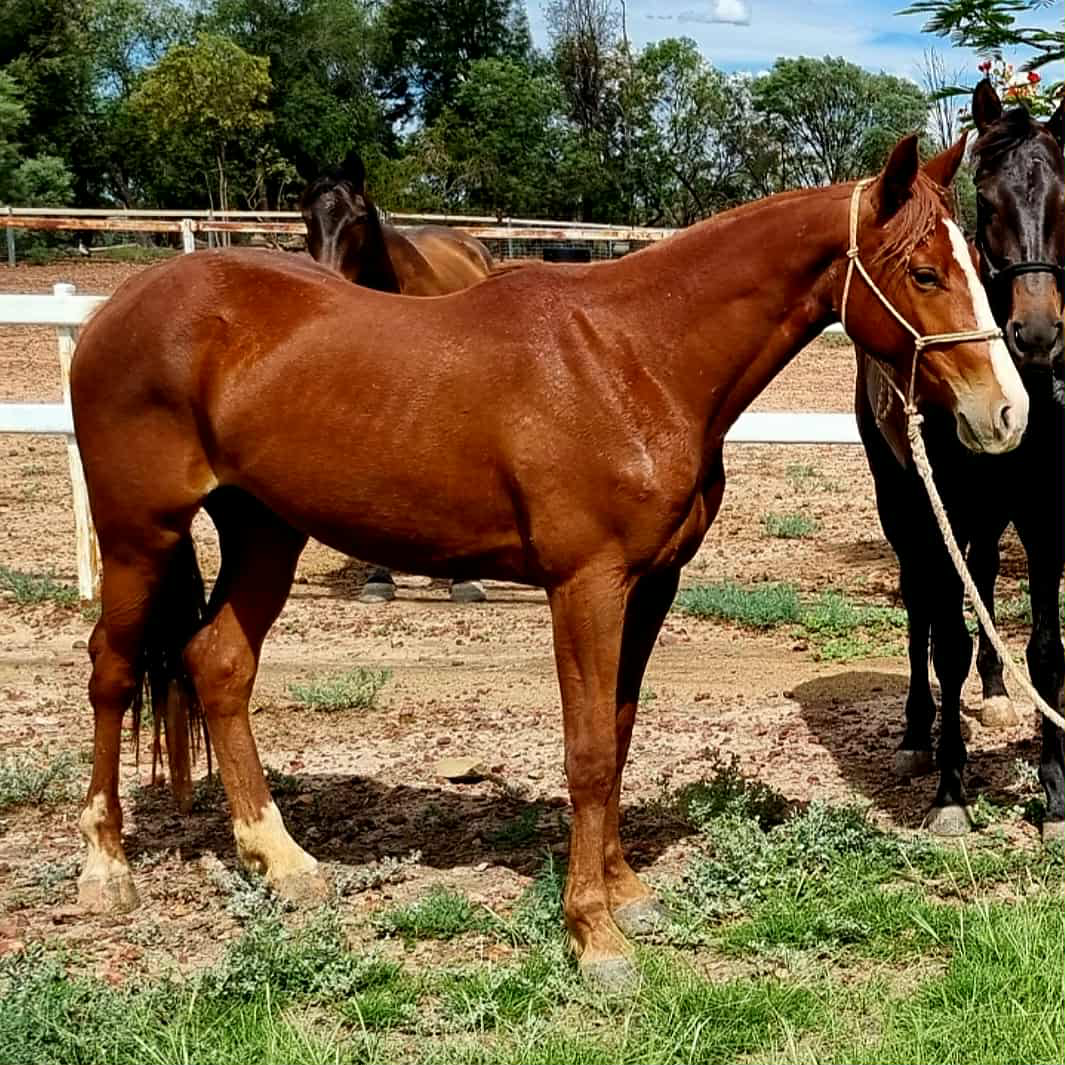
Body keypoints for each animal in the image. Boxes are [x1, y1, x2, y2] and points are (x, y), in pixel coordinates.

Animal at [856, 81, 1064, 839]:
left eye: (1061, 197)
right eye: (987, 198)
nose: (1036, 333)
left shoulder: (1041, 513)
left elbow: (1046, 650)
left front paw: (1055, 794)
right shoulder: (934, 504)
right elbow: (943, 642)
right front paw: (951, 790)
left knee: (980, 577)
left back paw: (995, 691)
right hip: (902, 503)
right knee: (922, 609)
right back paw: (918, 735)